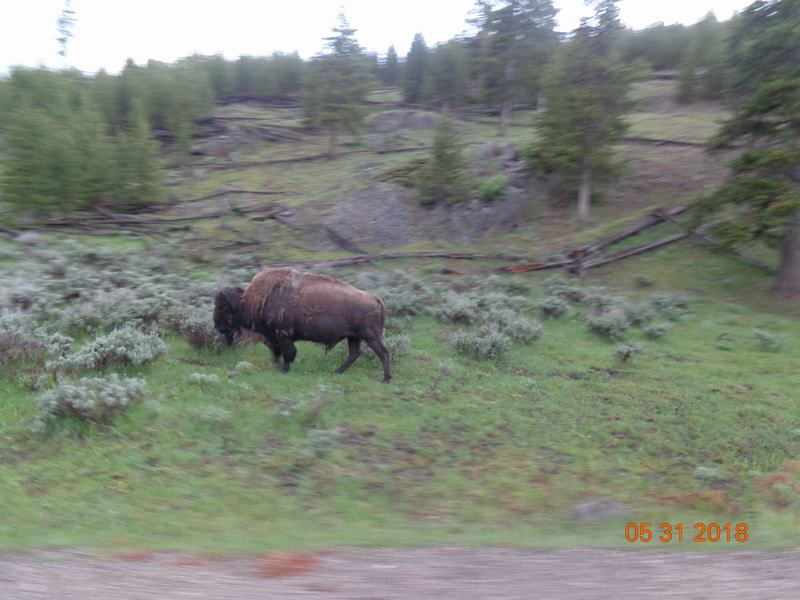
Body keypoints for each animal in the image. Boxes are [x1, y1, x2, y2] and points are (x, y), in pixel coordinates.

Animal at [214, 268, 391, 382]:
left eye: (223, 308)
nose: (216, 325)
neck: (252, 301)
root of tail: (374, 298)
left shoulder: (283, 335)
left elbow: (287, 353)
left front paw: (285, 369)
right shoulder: (275, 338)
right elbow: (276, 353)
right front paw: (279, 367)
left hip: (369, 336)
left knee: (382, 353)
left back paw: (386, 379)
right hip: (353, 337)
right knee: (355, 353)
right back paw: (336, 372)